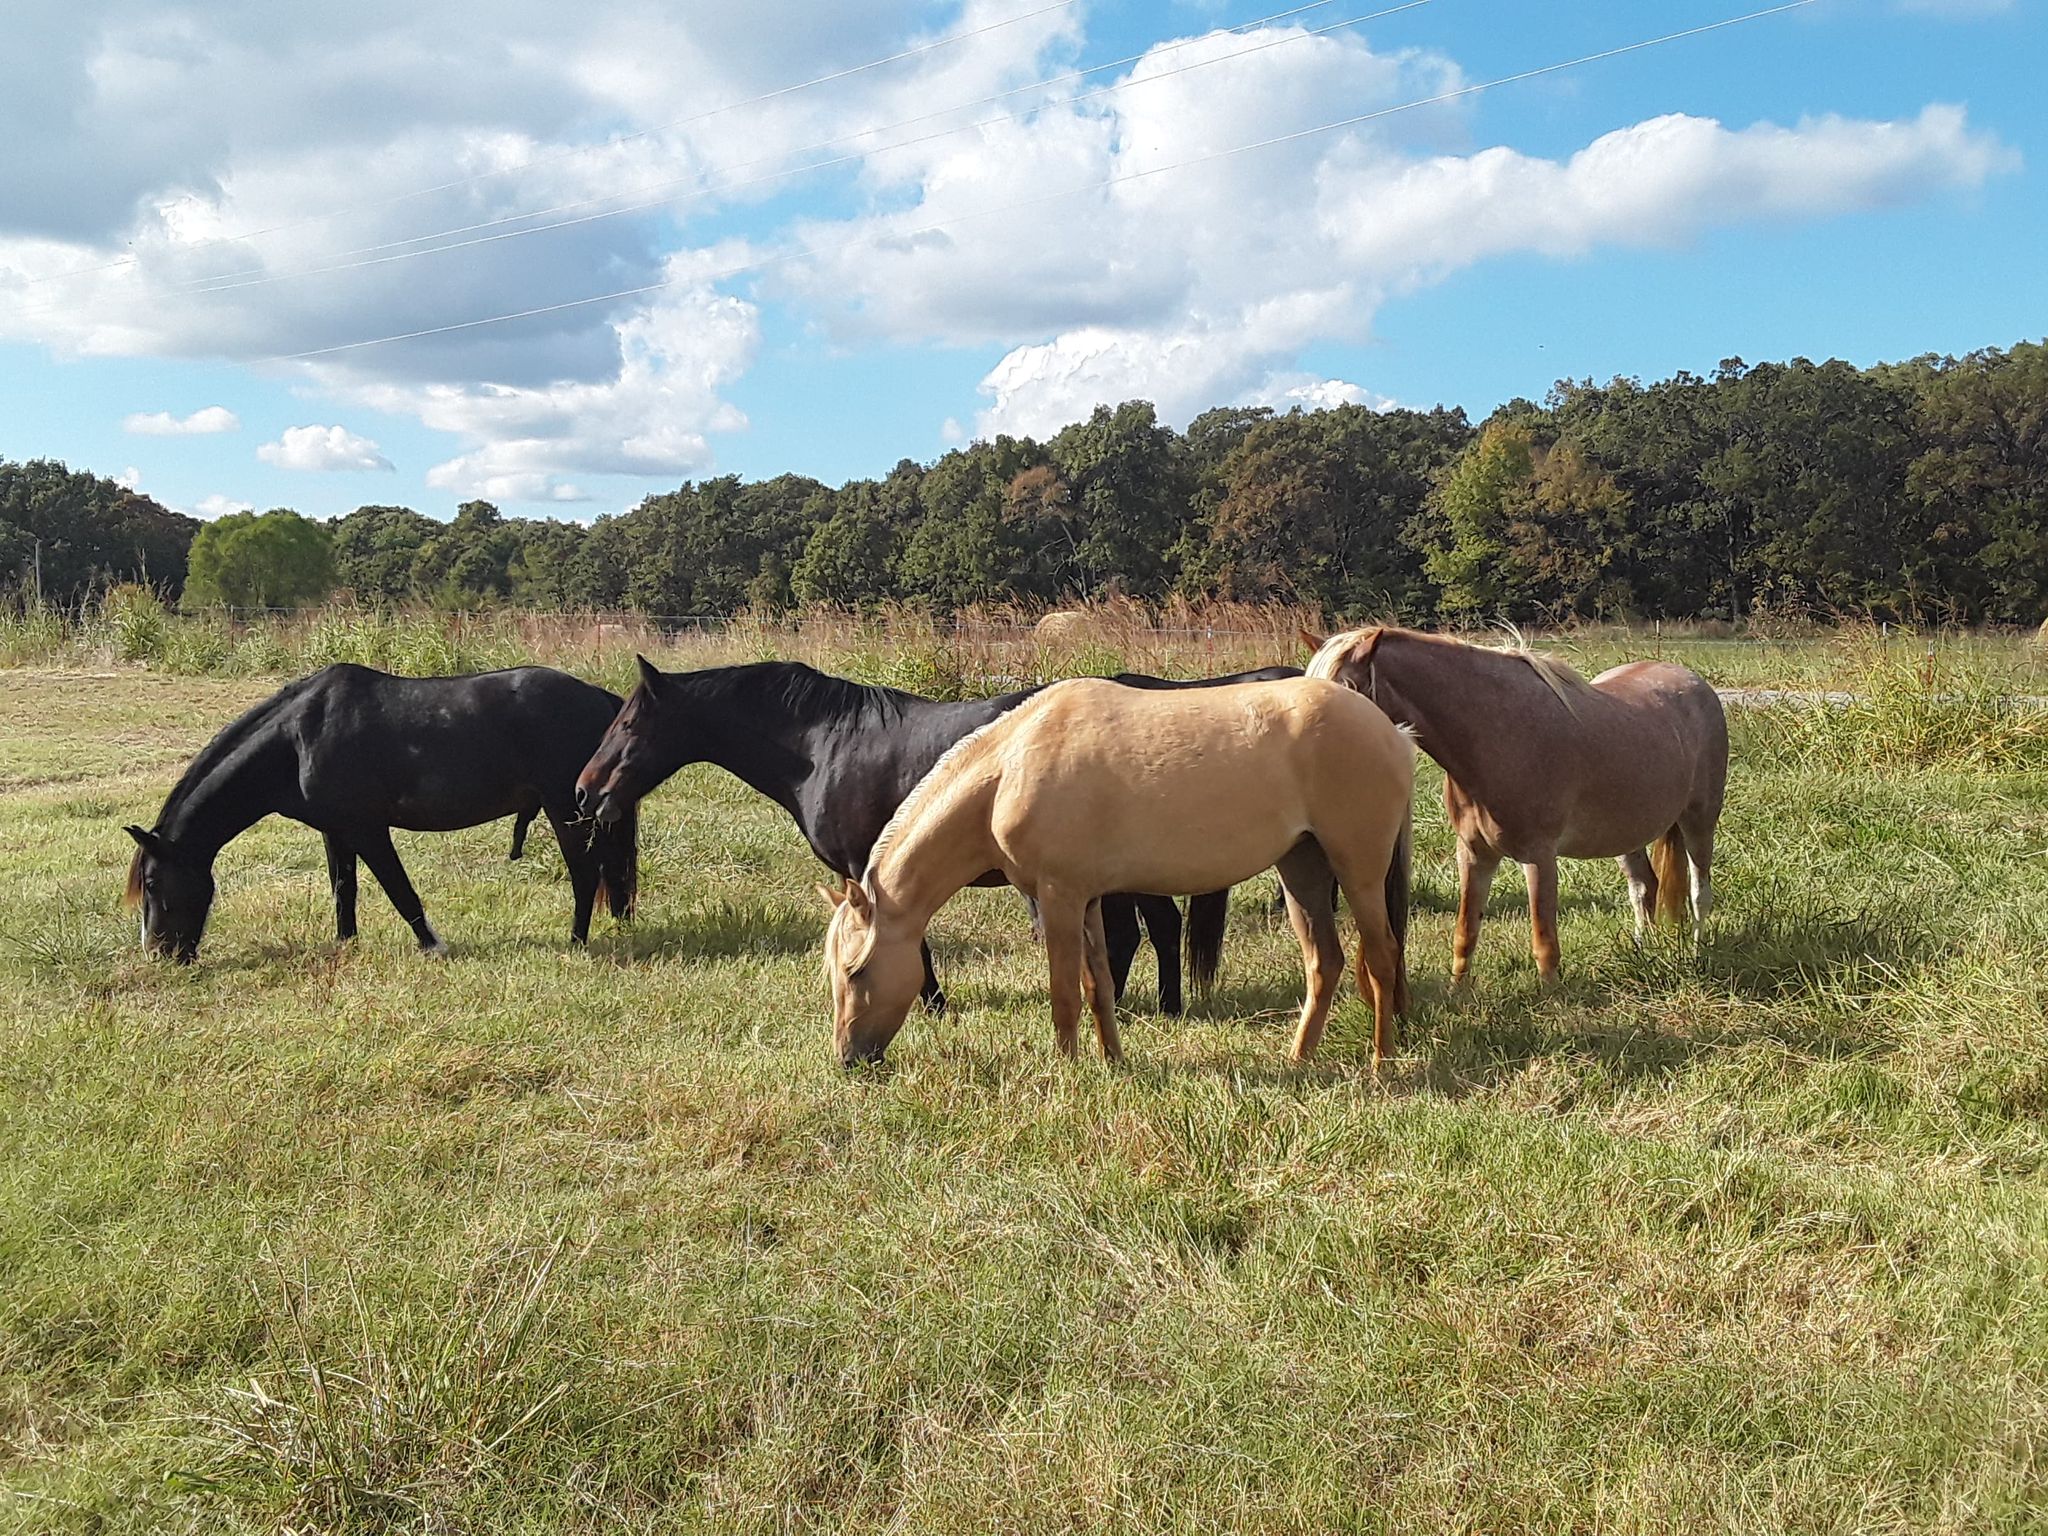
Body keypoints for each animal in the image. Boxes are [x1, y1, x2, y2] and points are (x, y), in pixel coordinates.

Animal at [124, 663, 634, 962]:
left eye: (152, 882)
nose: (159, 953)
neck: (298, 739)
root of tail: (600, 697)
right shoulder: (335, 830)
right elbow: (342, 889)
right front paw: (346, 943)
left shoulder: (367, 829)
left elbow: (399, 890)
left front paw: (433, 946)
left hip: (565, 809)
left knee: (585, 873)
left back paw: (576, 943)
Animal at [823, 679, 1417, 1073]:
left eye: (856, 971)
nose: (850, 1059)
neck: (1009, 769)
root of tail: (1393, 732)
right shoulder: (1086, 901)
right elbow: (1098, 986)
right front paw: (1112, 1062)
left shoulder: (1059, 898)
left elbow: (1065, 992)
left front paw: (1066, 1071)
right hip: (1302, 871)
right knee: (1326, 963)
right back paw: (1298, 1059)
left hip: (1358, 871)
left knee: (1382, 956)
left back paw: (1381, 1063)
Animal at [1302, 626, 1720, 978]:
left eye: (1346, 691)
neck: (1497, 737)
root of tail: (1694, 683)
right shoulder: (1474, 855)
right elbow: (1465, 934)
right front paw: (1459, 995)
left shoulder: (1539, 857)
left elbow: (1544, 943)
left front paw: (1553, 1002)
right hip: (1625, 834)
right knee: (1645, 887)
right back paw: (1642, 953)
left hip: (1700, 820)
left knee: (1699, 891)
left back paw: (1698, 954)